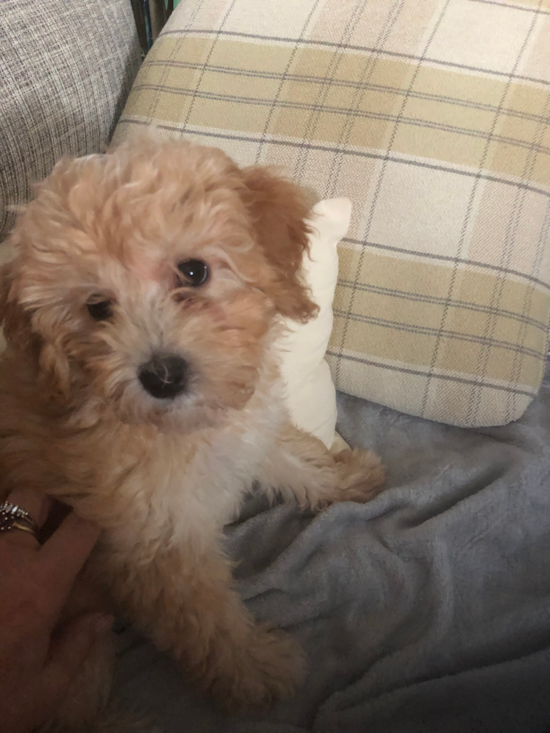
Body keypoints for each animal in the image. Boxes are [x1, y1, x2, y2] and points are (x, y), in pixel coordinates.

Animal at [0, 136, 386, 728]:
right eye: (97, 308)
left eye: (194, 272)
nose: (161, 376)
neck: (185, 427)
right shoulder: (158, 549)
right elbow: (210, 627)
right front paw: (259, 671)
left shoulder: (251, 432)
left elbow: (298, 458)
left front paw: (348, 478)